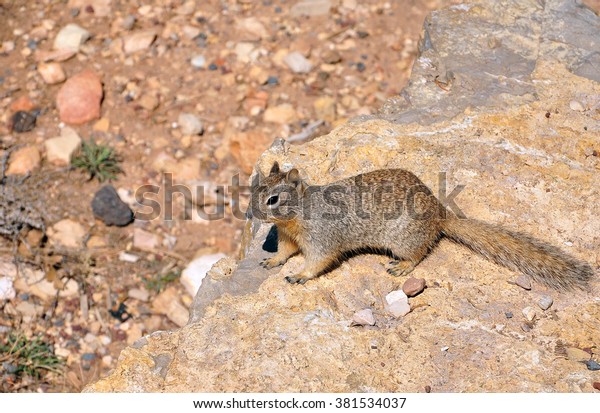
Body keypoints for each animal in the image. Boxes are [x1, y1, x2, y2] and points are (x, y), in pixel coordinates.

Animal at [250, 161, 596, 290]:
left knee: (419, 253)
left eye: (274, 199)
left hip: (403, 239)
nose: (251, 213)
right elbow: (284, 251)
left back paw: (402, 267)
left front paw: (299, 275)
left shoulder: (322, 239)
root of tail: (440, 215)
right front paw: (273, 261)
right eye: (254, 187)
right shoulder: (288, 236)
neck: (298, 216)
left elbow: (318, 261)